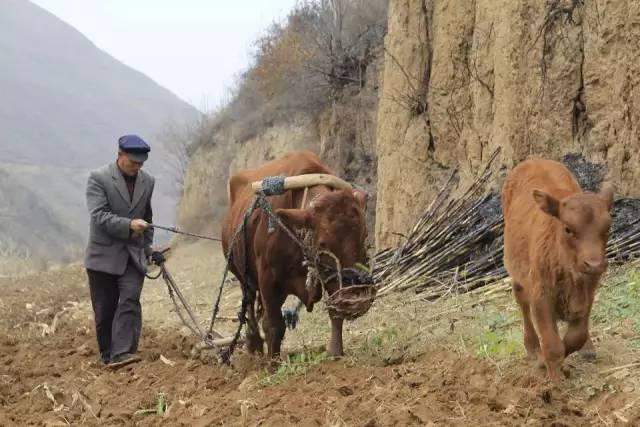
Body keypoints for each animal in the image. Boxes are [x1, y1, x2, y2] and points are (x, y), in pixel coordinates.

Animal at [502, 159, 612, 380]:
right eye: (568, 228)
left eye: (607, 228)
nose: (594, 264)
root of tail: (533, 160)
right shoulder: (541, 296)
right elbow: (553, 346)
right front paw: (553, 378)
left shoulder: (587, 294)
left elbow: (575, 337)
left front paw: (566, 362)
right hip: (517, 275)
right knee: (522, 301)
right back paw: (532, 348)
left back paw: (588, 349)